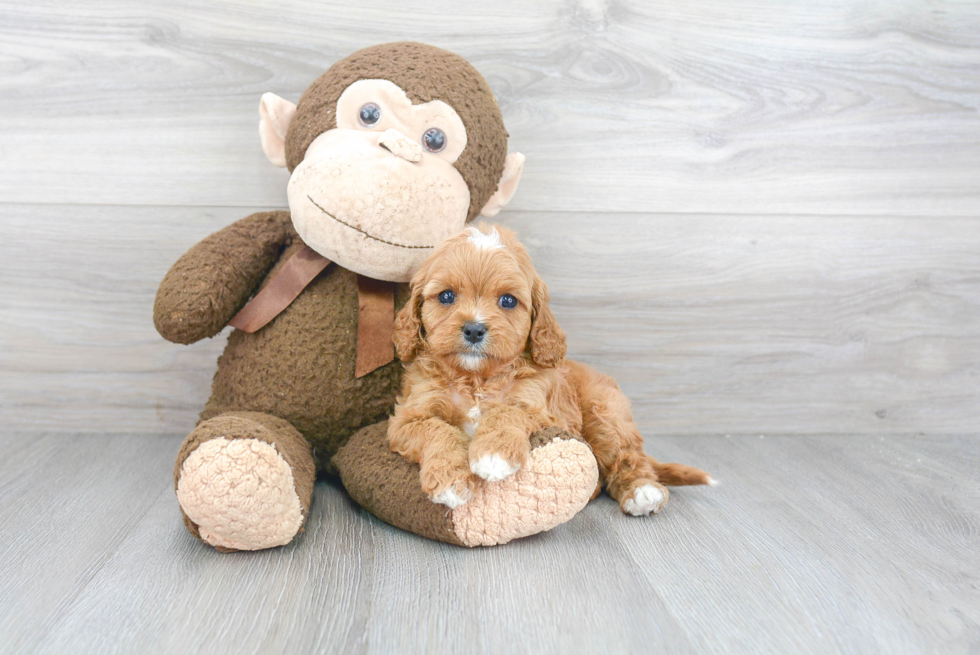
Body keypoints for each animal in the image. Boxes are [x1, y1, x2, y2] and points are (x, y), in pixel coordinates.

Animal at [386, 226, 716, 516]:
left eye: (508, 300)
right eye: (446, 296)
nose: (474, 329)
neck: (477, 379)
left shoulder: (543, 411)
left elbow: (506, 410)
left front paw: (494, 456)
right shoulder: (407, 419)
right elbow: (438, 430)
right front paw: (451, 482)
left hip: (605, 414)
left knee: (627, 457)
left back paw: (642, 491)